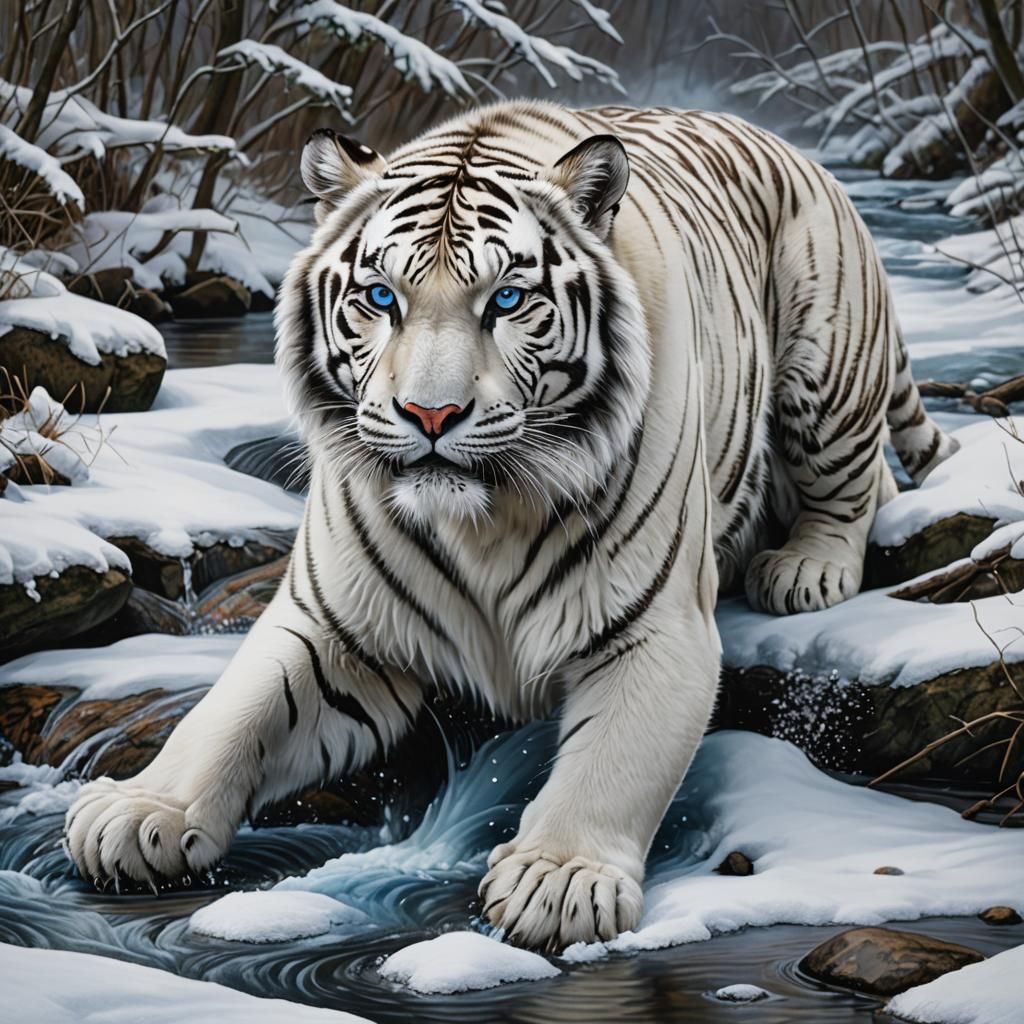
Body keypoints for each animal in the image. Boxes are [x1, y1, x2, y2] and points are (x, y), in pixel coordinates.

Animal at [64, 100, 956, 952]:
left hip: (825, 363)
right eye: (380, 297)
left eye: (506, 300)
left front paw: (558, 880)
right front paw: (139, 813)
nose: (430, 414)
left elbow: (614, 761)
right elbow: (231, 711)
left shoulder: (657, 629)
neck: (484, 518)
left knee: (855, 482)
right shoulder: (333, 627)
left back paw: (805, 570)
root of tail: (787, 145)